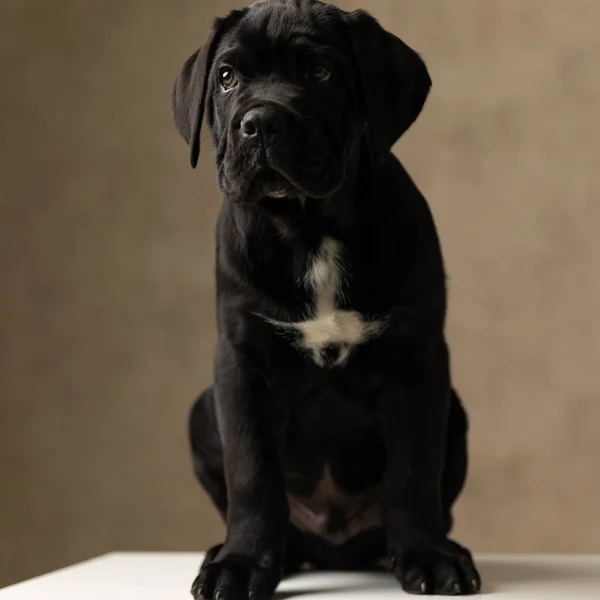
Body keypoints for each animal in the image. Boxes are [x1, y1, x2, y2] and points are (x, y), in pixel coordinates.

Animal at [171, 0, 480, 596]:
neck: (308, 229)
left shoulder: (417, 361)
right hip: (202, 410)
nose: (260, 122)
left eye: (321, 73)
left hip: (453, 408)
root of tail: (335, 547)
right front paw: (242, 563)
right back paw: (262, 553)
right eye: (227, 77)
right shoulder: (242, 362)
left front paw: (428, 556)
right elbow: (251, 471)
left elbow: (413, 470)